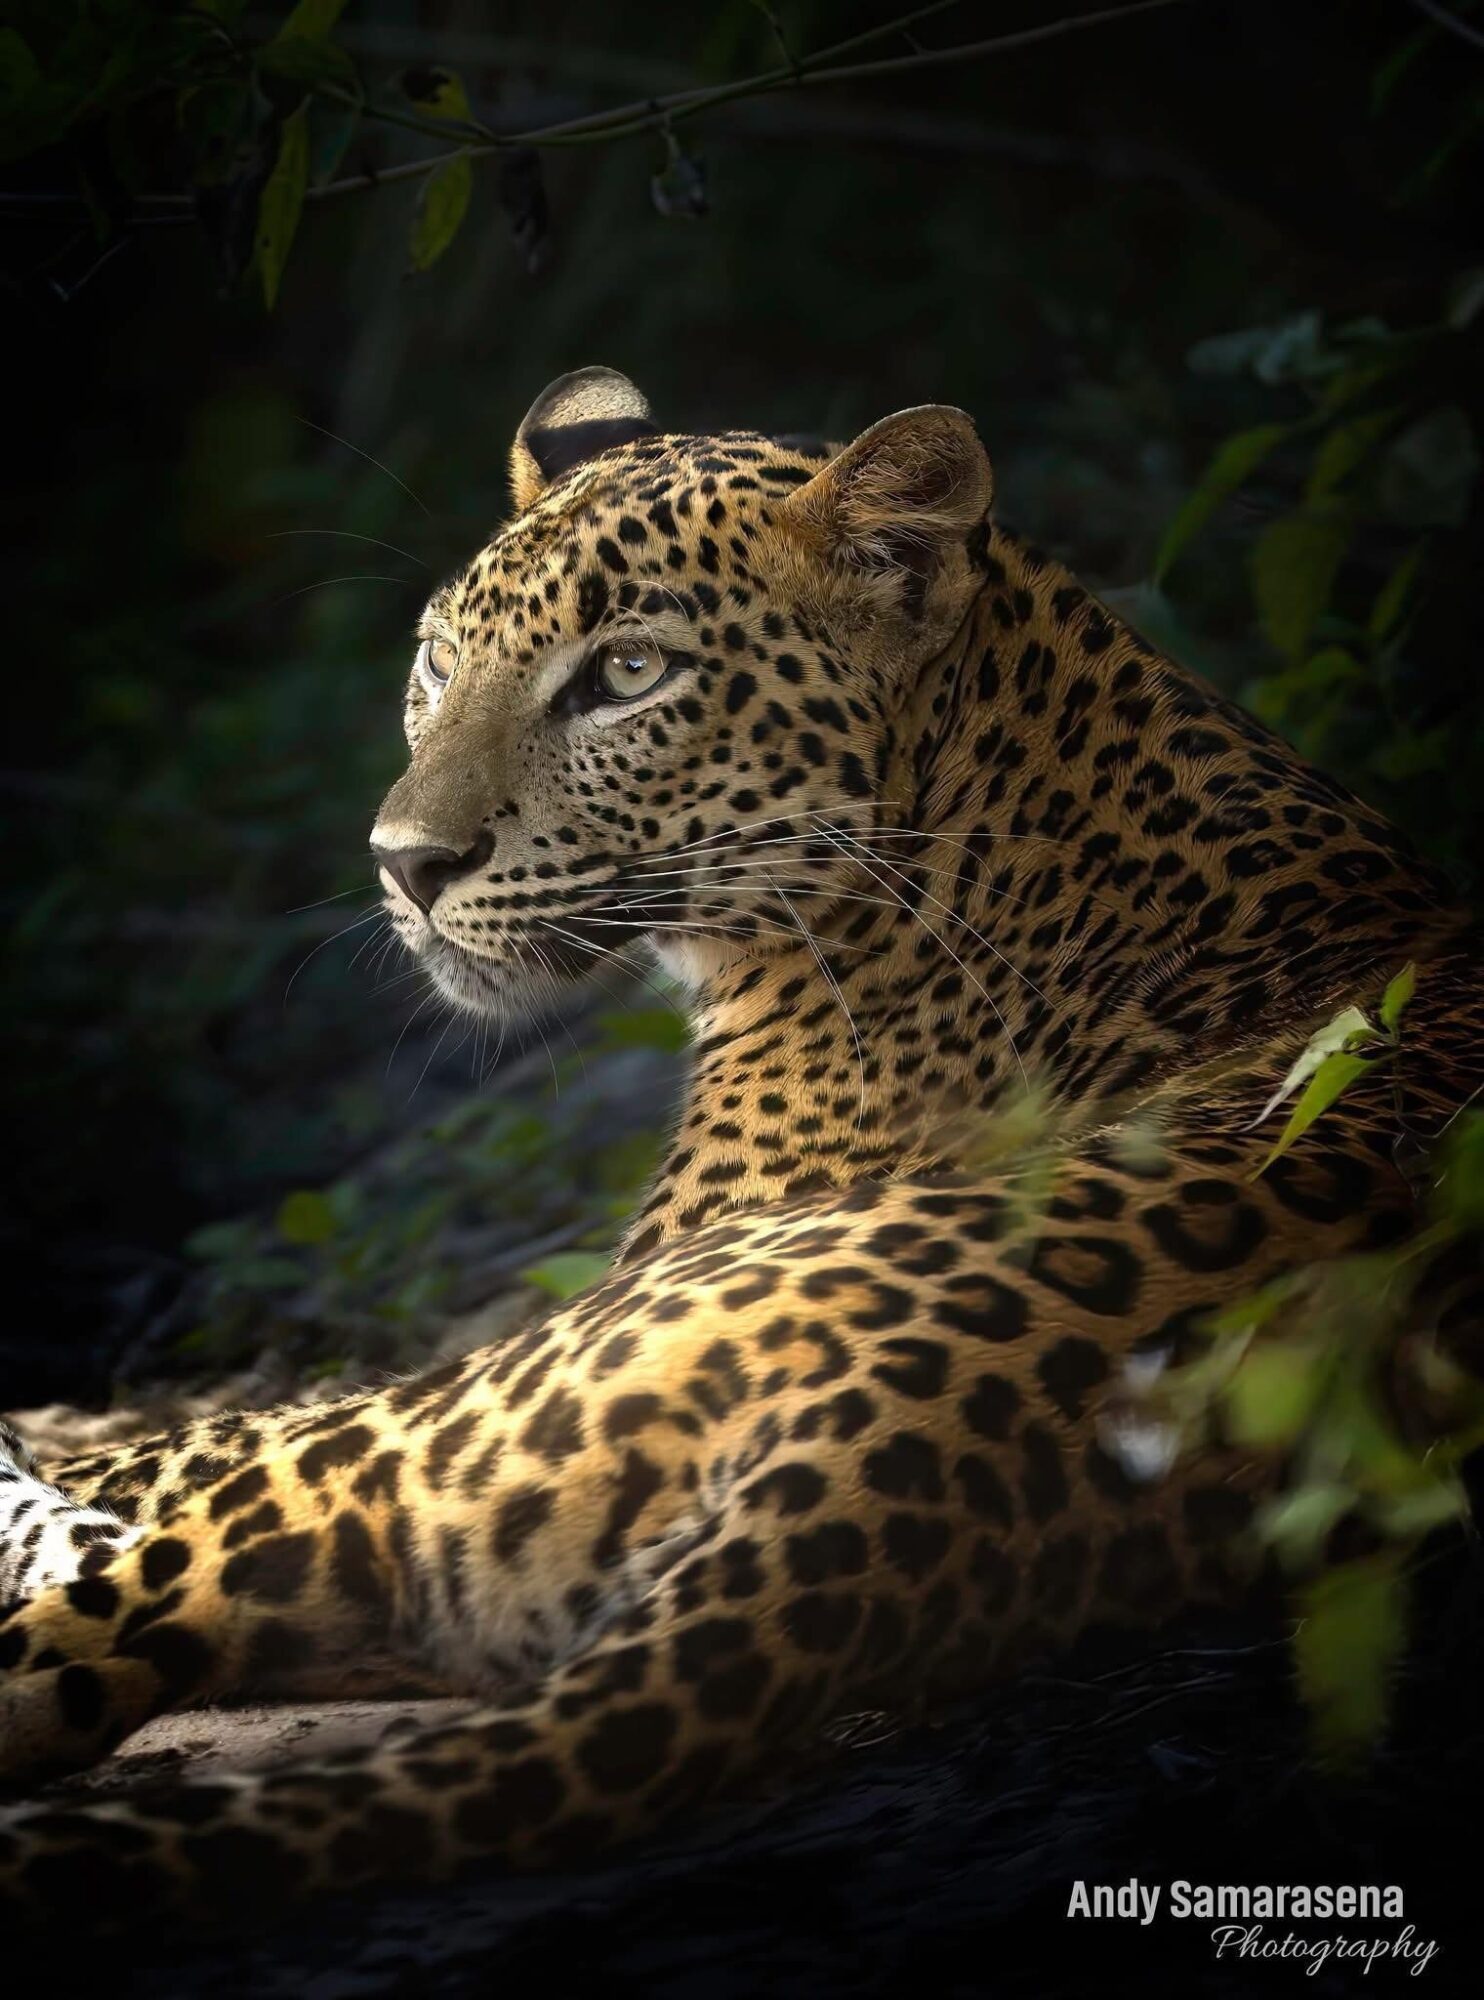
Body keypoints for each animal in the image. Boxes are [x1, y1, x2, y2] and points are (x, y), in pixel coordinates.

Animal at [1, 365, 1480, 1932]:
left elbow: (177, 1434)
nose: (405, 864)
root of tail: (896, 1457)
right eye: (438, 663)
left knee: (172, 1522)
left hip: (460, 1411)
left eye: (627, 675)